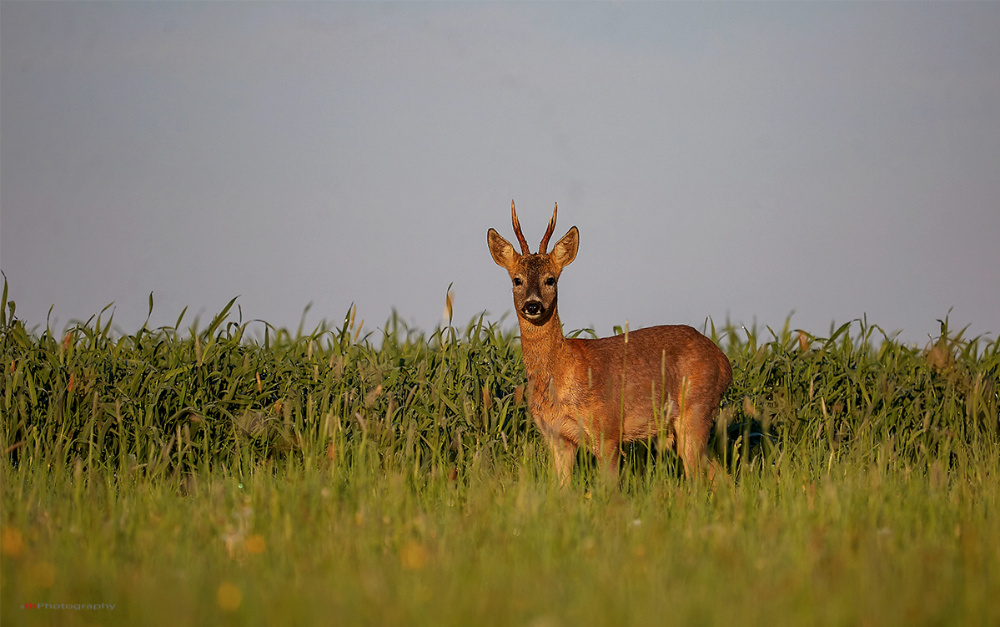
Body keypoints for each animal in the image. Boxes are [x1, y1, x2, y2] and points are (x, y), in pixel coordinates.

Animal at [488, 201, 732, 486]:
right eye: (517, 279)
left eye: (551, 279)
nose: (533, 305)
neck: (563, 374)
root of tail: (724, 361)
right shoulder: (556, 437)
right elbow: (561, 488)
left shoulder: (608, 431)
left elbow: (609, 488)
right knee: (721, 476)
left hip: (695, 410)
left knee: (698, 480)